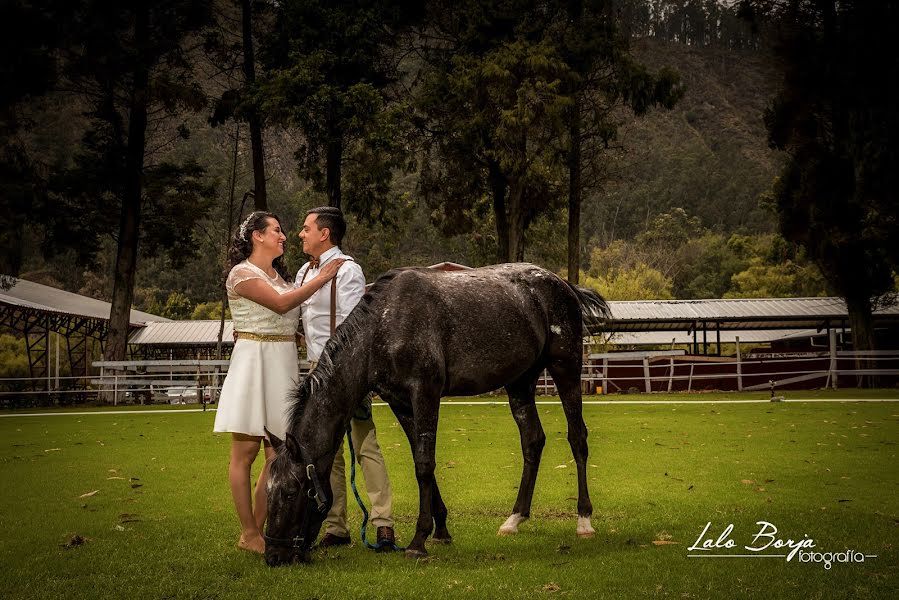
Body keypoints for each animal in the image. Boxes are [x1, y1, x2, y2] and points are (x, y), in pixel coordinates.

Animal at [262, 262, 612, 564]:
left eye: (291, 492)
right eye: (268, 490)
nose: (274, 555)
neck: (384, 328)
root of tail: (562, 284)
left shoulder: (425, 394)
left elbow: (424, 464)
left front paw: (418, 540)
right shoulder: (401, 403)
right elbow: (422, 462)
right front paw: (440, 529)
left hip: (566, 369)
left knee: (577, 437)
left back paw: (584, 520)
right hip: (520, 383)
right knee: (533, 442)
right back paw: (514, 519)